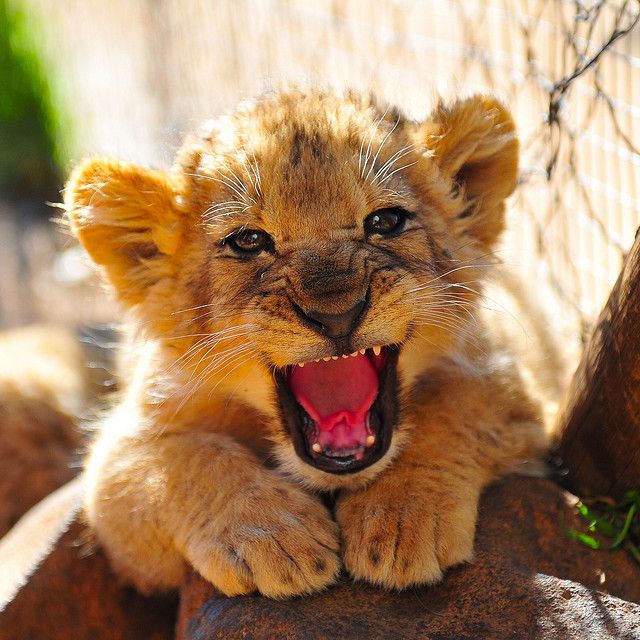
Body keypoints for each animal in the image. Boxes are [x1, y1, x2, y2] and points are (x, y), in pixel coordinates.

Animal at [64, 88, 548, 598]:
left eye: (386, 221)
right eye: (248, 241)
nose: (337, 314)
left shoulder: (515, 382)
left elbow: (451, 408)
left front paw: (402, 521)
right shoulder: (124, 454)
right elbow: (183, 464)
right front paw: (277, 539)